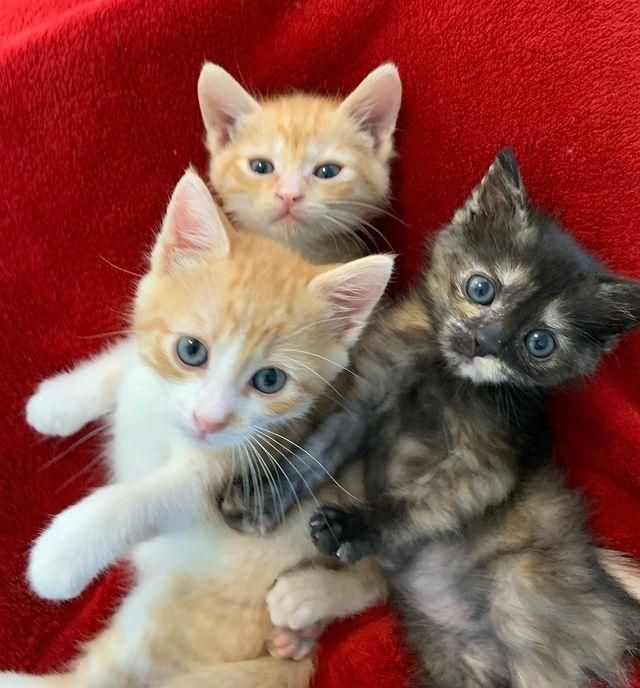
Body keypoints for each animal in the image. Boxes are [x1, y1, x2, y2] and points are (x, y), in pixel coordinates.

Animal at [1, 168, 390, 688]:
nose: (209, 420)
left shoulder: (224, 480)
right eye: (191, 350)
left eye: (270, 381)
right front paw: (58, 402)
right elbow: (124, 361)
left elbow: (147, 498)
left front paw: (65, 551)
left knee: (102, 676)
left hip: (177, 612)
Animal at [226, 152, 640, 688]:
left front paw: (355, 526)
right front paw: (263, 497)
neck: (439, 370)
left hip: (524, 602)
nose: (484, 341)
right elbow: (313, 456)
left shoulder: (486, 464)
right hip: (451, 657)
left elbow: (422, 499)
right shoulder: (363, 402)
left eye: (539, 342)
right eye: (481, 288)